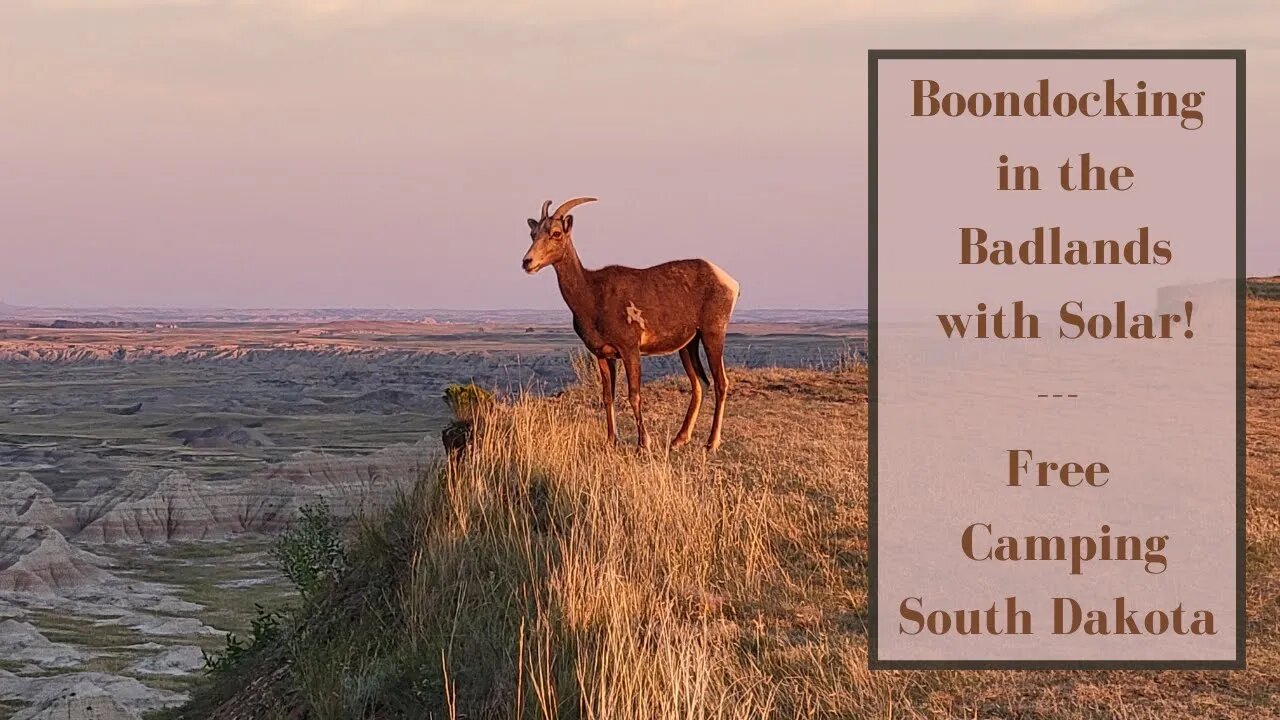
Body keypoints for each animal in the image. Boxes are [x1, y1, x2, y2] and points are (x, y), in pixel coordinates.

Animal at [522, 196, 742, 448]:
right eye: (533, 233)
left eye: (556, 233)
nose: (527, 262)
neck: (592, 295)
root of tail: (730, 283)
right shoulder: (603, 355)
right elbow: (607, 396)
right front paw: (611, 441)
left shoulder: (630, 349)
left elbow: (634, 395)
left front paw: (643, 444)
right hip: (688, 345)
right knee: (700, 383)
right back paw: (678, 440)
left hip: (713, 334)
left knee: (721, 383)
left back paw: (711, 443)